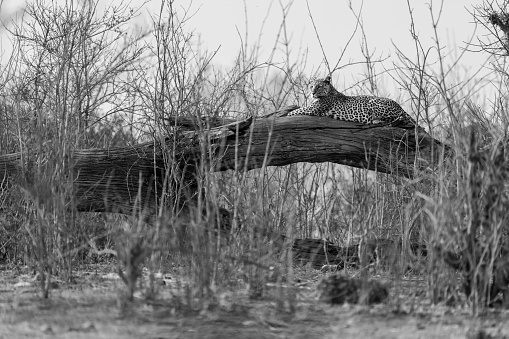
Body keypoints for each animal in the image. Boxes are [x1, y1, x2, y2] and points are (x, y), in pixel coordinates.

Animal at [286, 75, 424, 133]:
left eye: (319, 86)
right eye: (311, 86)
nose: (312, 92)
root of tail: (399, 106)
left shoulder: (312, 109)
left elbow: (294, 112)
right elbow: (296, 109)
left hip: (373, 103)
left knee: (395, 120)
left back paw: (376, 121)